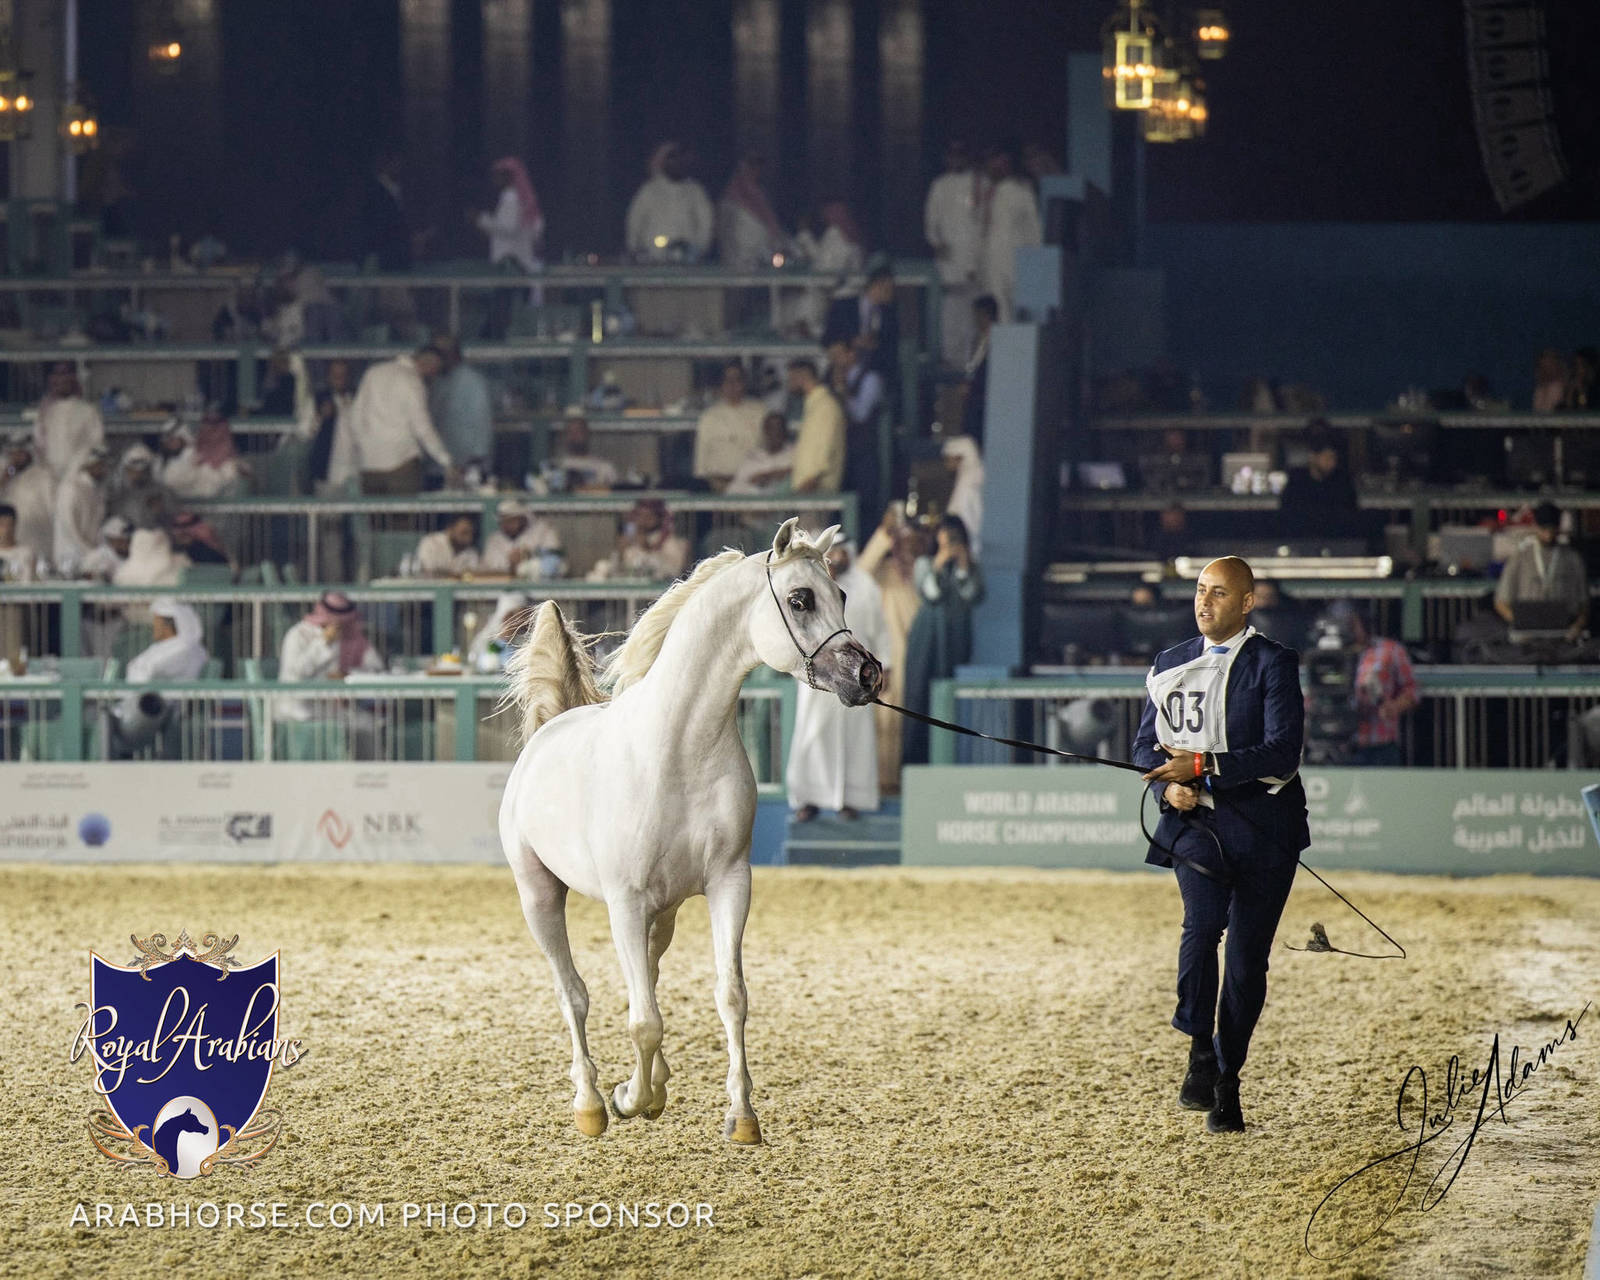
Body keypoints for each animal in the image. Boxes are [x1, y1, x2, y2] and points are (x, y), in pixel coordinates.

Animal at [498, 518, 883, 1144]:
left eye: (844, 595)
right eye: (801, 599)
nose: (867, 673)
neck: (678, 750)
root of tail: (548, 730)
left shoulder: (729, 884)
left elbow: (729, 997)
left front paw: (740, 1117)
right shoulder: (625, 903)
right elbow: (643, 1021)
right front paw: (629, 1100)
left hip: (667, 912)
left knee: (647, 977)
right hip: (540, 897)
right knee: (573, 994)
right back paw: (591, 1104)